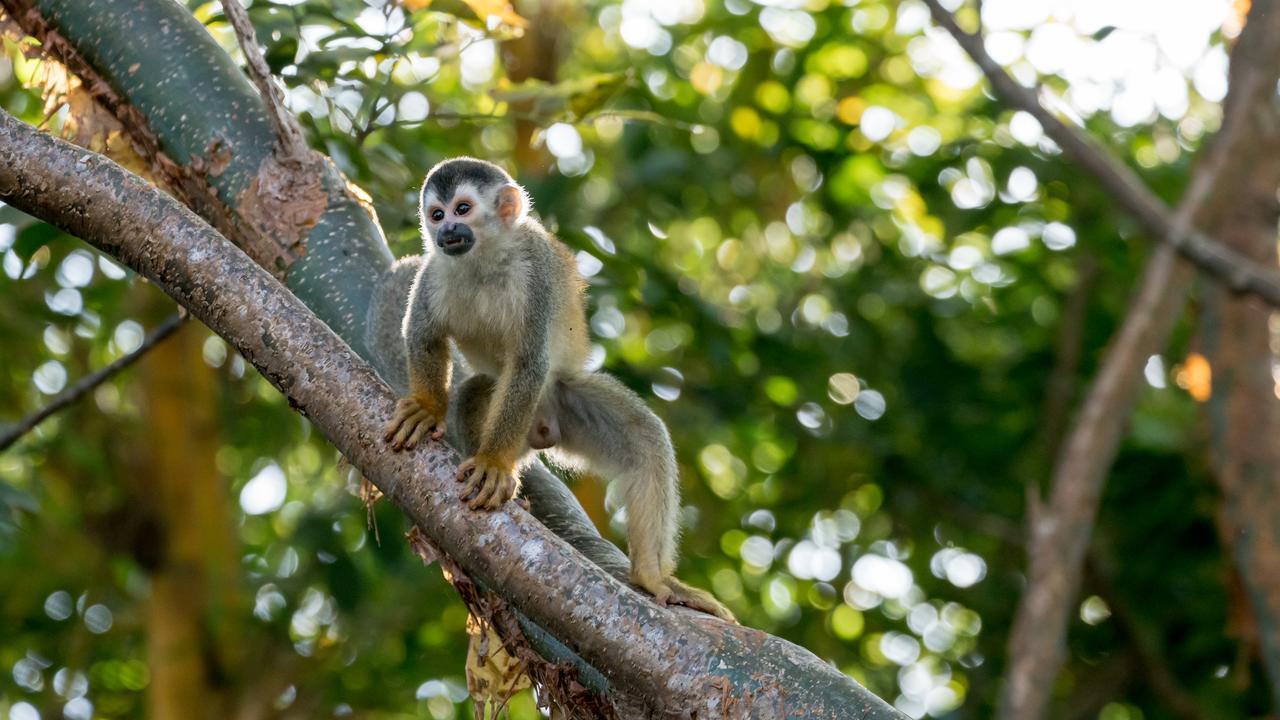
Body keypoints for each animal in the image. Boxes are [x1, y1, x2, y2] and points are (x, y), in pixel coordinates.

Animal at [381, 156, 732, 617]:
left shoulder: (537, 275)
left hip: (562, 399)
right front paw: (426, 408)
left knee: (644, 439)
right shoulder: (433, 271)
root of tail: (541, 428)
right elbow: (425, 335)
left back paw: (651, 576)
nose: (446, 232)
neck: (484, 259)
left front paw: (493, 463)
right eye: (436, 214)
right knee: (475, 395)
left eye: (462, 209)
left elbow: (530, 362)